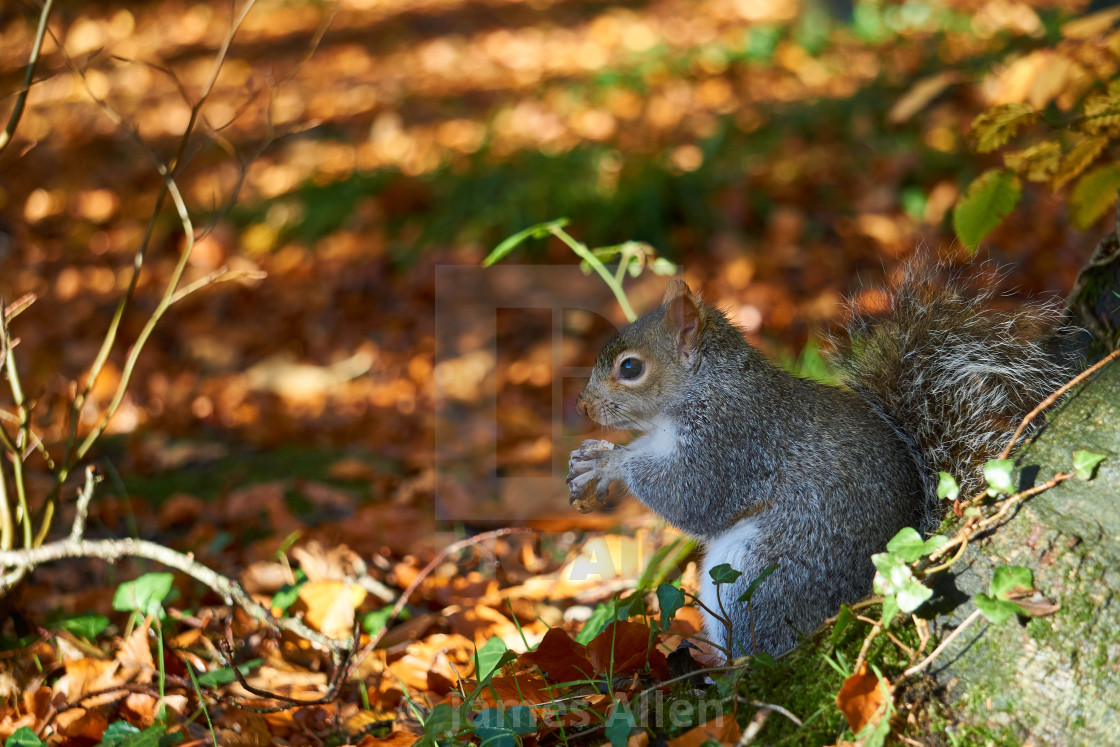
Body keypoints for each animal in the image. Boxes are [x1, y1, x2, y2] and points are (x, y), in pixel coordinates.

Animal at [568, 259, 1075, 658]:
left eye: (630, 368)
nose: (584, 408)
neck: (702, 390)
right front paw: (588, 458)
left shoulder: (733, 440)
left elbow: (695, 497)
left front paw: (609, 464)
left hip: (762, 580)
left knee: (760, 646)